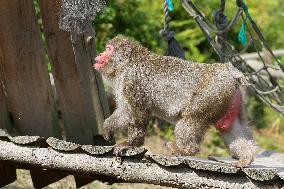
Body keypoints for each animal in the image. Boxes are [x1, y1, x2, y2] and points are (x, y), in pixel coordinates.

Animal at [93, 35, 258, 167]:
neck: (126, 64)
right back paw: (246, 158)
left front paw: (131, 143)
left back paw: (186, 149)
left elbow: (139, 114)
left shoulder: (131, 81)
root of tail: (230, 72)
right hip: (228, 99)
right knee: (230, 127)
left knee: (191, 119)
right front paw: (107, 127)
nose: (100, 53)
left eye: (108, 49)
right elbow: (126, 112)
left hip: (212, 93)